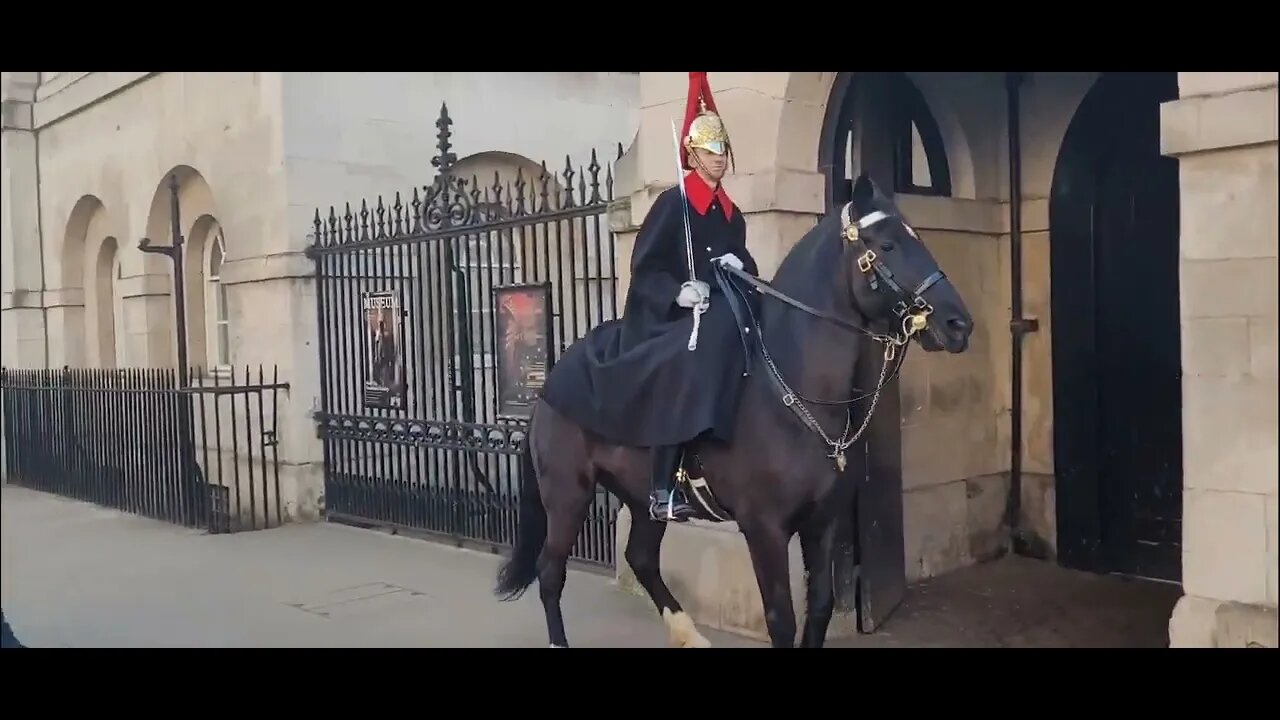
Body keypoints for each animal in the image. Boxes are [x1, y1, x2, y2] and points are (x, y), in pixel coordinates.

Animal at [494, 174, 972, 645]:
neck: (795, 389)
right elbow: (781, 619)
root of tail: (552, 379)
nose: (959, 324)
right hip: (567, 493)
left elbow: (818, 608)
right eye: (886, 244)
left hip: (636, 495)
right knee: (550, 572)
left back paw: (687, 633)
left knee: (640, 557)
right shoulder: (764, 528)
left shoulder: (822, 521)